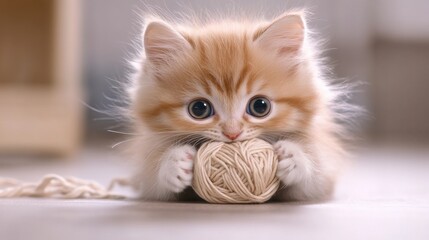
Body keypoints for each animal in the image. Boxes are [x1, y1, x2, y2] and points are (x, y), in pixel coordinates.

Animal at [126, 10, 344, 201]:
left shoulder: (323, 167)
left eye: (260, 106)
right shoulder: (146, 170)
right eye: (199, 109)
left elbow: (314, 182)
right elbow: (153, 183)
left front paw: (295, 158)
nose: (232, 133)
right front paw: (172, 164)